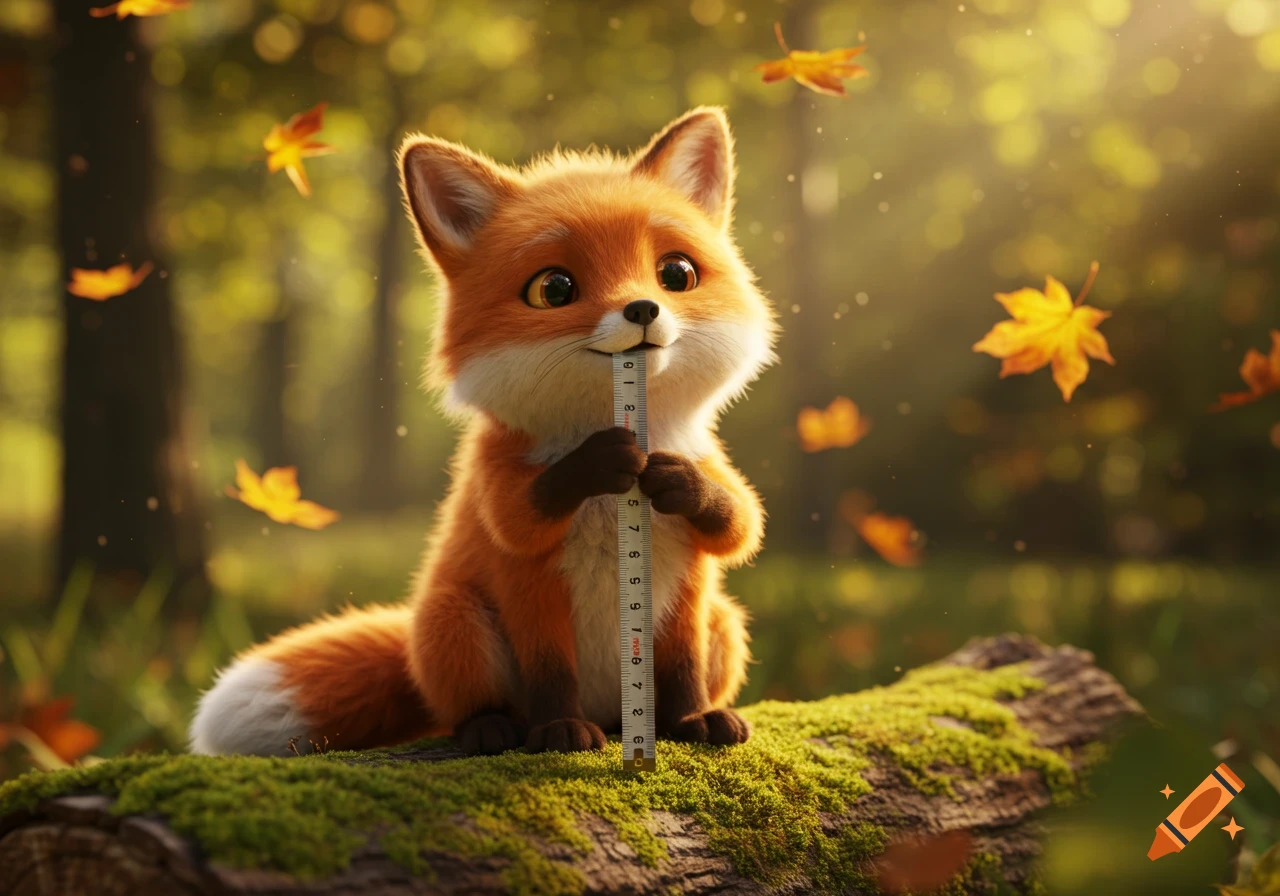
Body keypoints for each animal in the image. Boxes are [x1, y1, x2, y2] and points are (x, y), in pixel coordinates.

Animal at [190, 107, 778, 757]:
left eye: (676, 273)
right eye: (554, 288)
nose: (643, 309)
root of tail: (611, 709)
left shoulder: (693, 575)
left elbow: (739, 525)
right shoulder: (515, 537)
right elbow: (524, 532)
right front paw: (559, 730)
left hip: (725, 620)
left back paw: (679, 721)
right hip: (456, 622)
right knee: (468, 708)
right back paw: (497, 727)